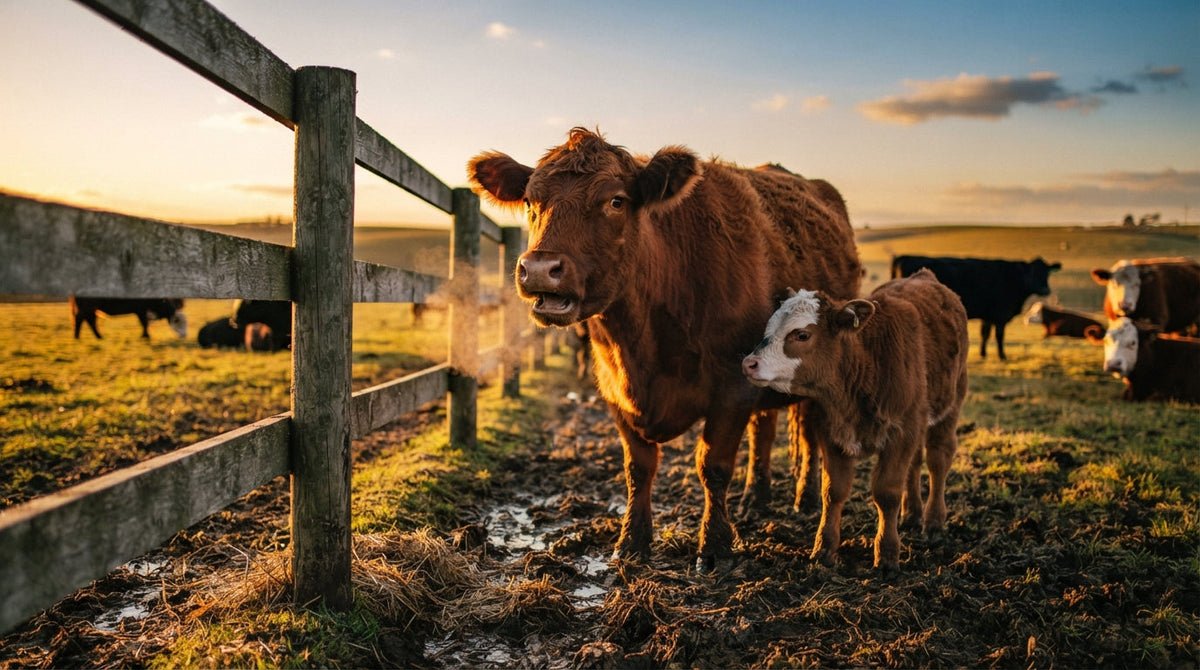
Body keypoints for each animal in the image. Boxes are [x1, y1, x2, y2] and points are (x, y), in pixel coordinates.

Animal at [468, 127, 862, 570]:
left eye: (616, 201)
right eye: (531, 201)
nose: (539, 269)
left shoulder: (732, 387)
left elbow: (713, 466)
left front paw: (714, 546)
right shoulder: (614, 389)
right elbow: (638, 468)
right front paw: (631, 541)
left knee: (808, 434)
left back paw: (804, 499)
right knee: (764, 428)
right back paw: (755, 497)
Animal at [741, 269, 969, 570]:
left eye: (802, 334)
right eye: (769, 327)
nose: (749, 363)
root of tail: (924, 276)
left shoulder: (901, 433)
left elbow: (886, 493)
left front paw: (887, 555)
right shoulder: (831, 433)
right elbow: (833, 491)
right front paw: (823, 549)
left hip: (950, 406)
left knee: (938, 460)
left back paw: (933, 522)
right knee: (916, 463)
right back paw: (911, 514)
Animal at [891, 255, 1061, 361]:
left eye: (1048, 272)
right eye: (1032, 272)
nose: (1045, 289)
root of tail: (903, 257)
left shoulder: (988, 315)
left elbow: (985, 334)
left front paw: (983, 353)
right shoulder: (1000, 314)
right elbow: (999, 336)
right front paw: (1002, 356)